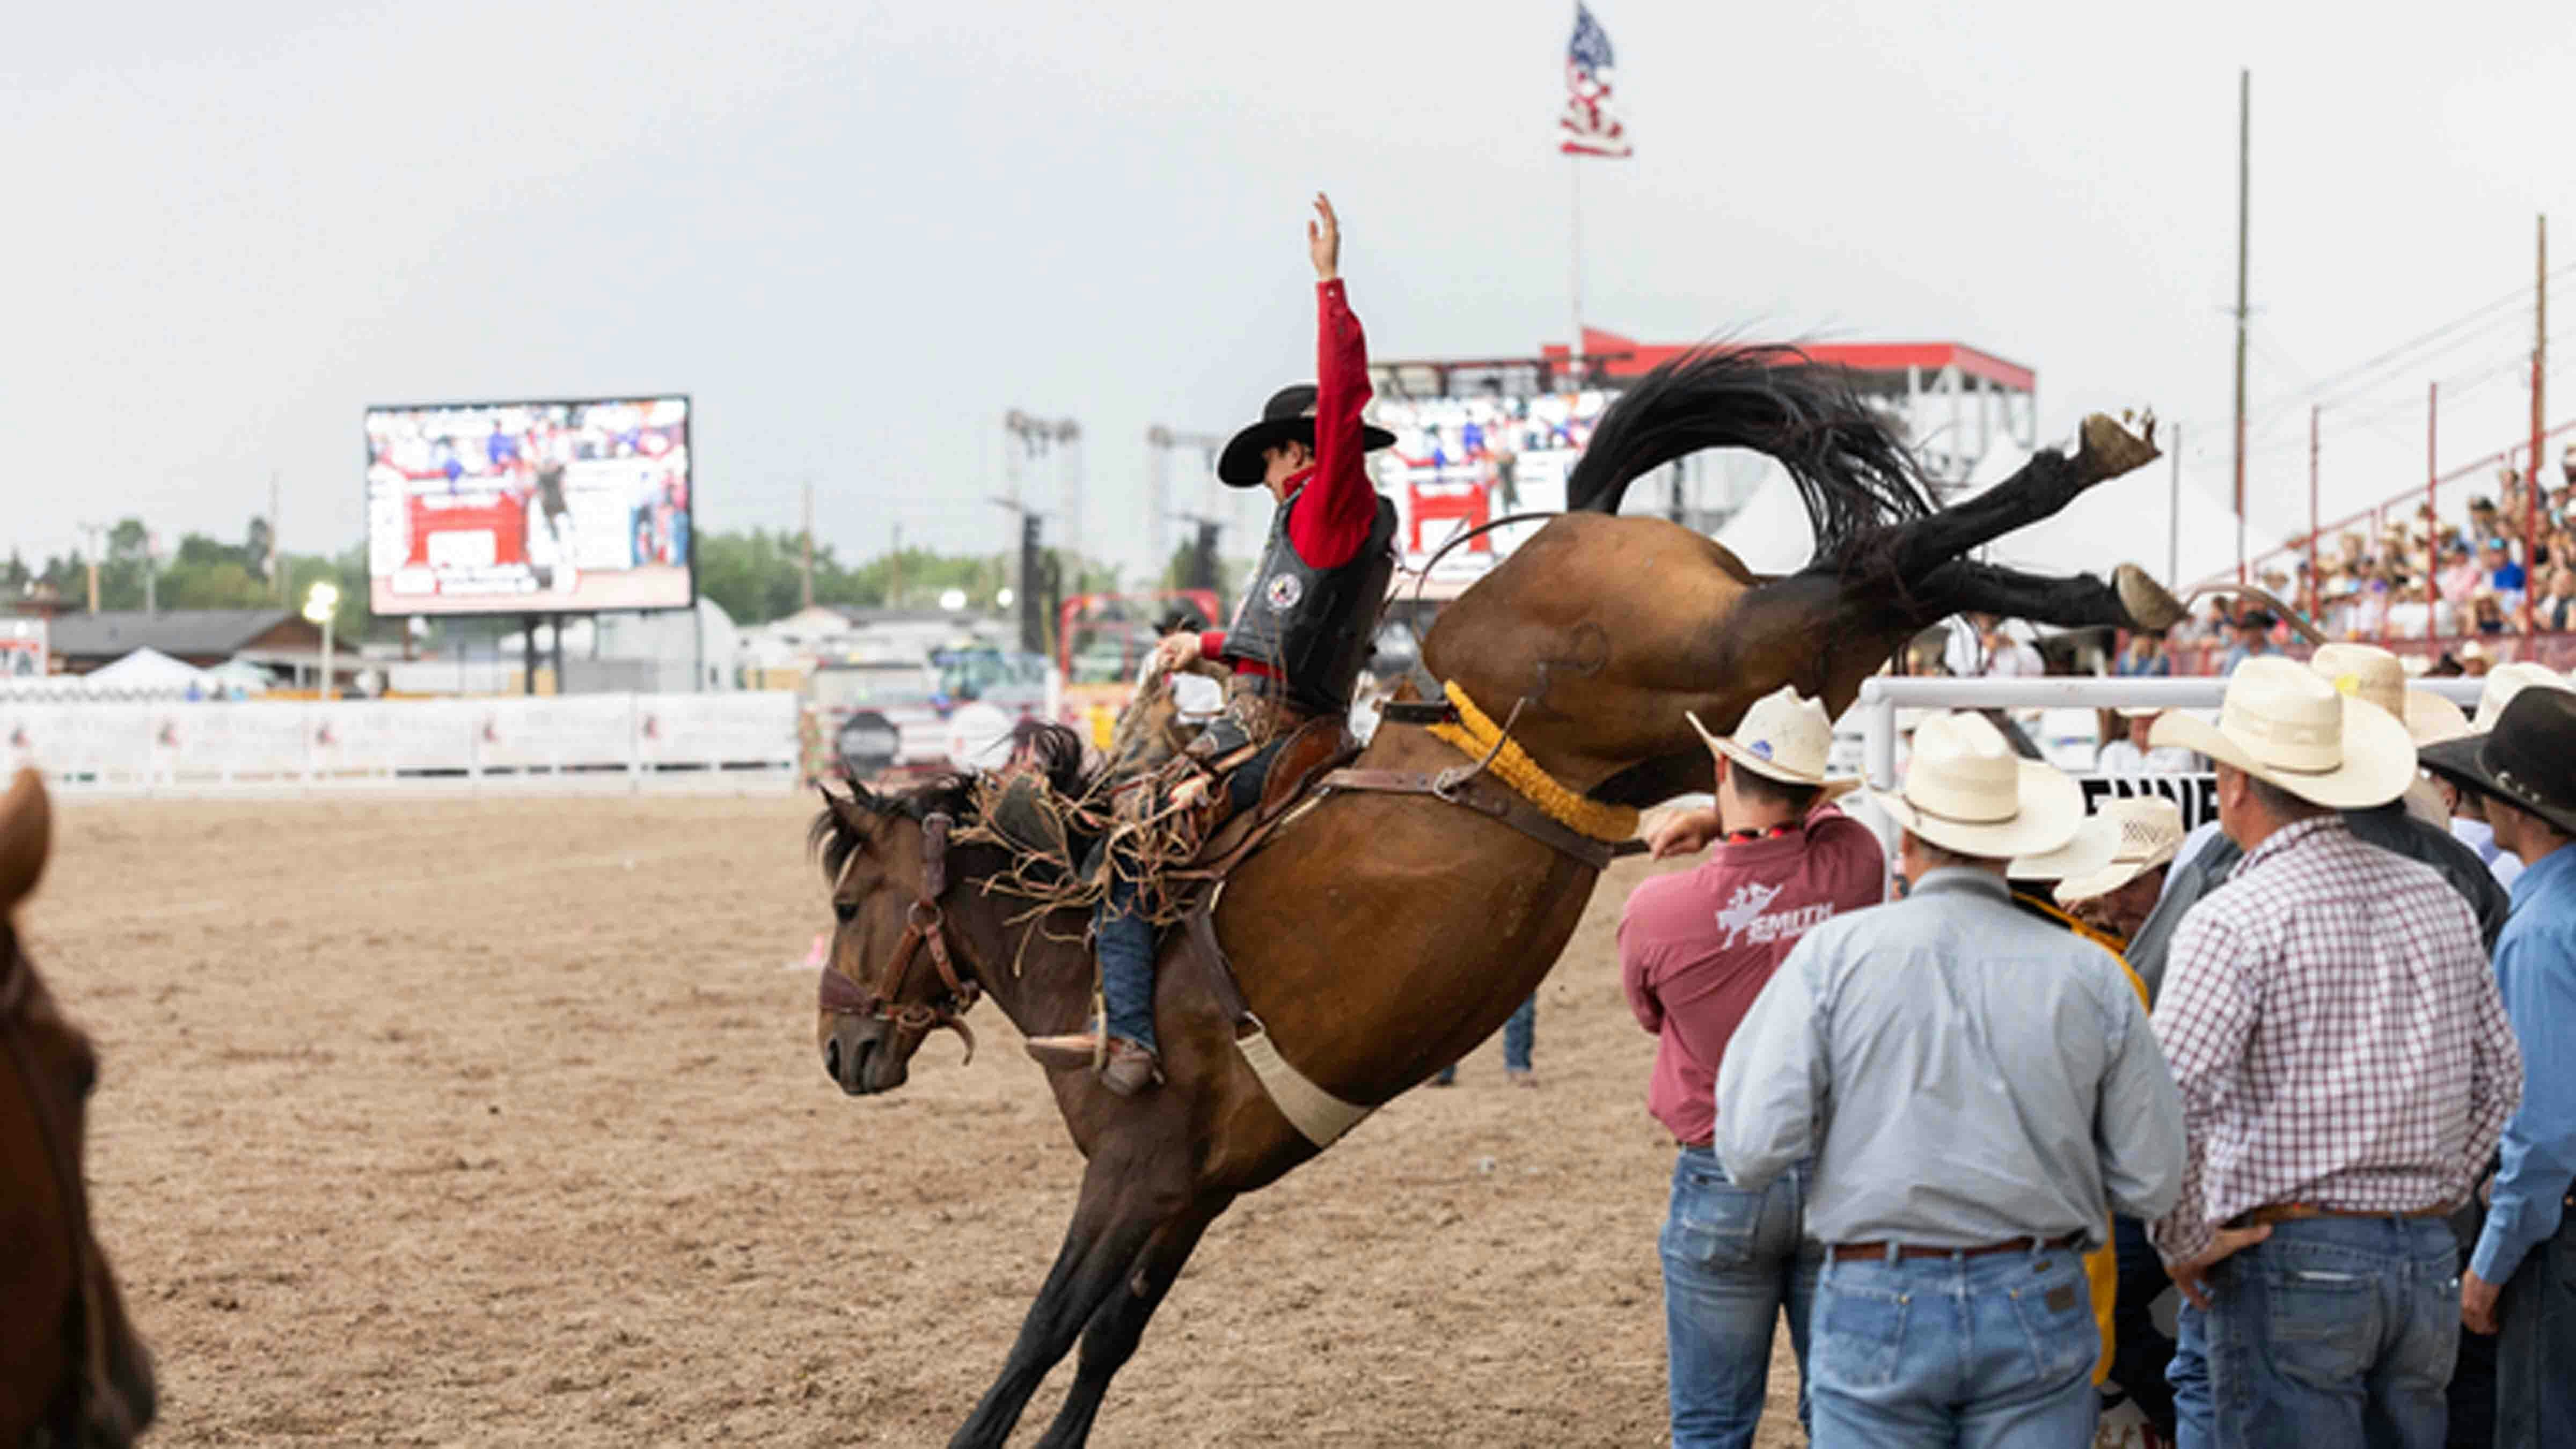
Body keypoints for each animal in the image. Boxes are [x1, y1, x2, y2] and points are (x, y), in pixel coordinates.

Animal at [809, 342, 2174, 1433]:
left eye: (843, 904)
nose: (840, 1053)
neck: (1080, 947)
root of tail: (1585, 517)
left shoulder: (1133, 1174)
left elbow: (1041, 1333)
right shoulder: (1194, 1189)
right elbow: (1105, 1344)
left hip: (1727, 648)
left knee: (1879, 562)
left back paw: (2081, 489)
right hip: (1745, 692)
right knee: (1894, 575)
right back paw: (2094, 578)